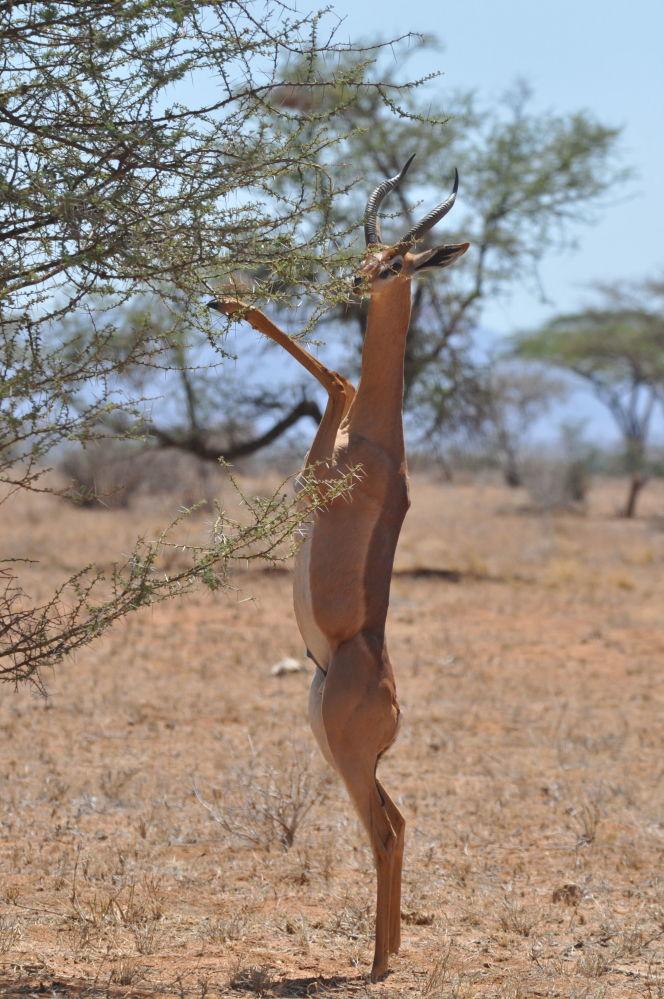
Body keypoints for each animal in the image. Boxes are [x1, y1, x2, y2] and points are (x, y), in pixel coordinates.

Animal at [210, 158, 470, 984]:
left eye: (396, 264)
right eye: (369, 251)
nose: (355, 281)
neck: (378, 442)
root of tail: (393, 701)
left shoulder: (318, 471)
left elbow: (335, 378)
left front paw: (231, 298)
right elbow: (339, 382)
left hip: (346, 752)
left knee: (384, 832)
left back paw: (378, 964)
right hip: (331, 742)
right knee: (401, 820)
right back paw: (389, 949)